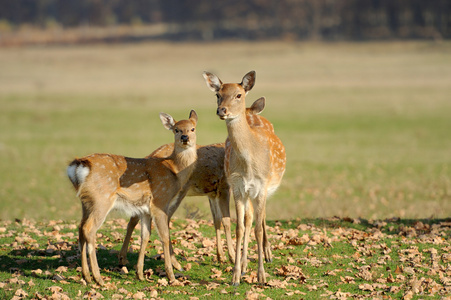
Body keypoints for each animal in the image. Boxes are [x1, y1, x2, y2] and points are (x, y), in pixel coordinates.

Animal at [67, 110, 200, 286]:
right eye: (176, 129)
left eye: (192, 128)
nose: (185, 137)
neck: (174, 171)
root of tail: (79, 165)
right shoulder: (160, 201)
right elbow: (165, 236)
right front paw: (171, 277)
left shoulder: (145, 209)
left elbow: (145, 236)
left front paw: (140, 274)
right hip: (102, 199)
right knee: (89, 229)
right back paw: (98, 278)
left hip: (86, 203)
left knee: (81, 228)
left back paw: (87, 276)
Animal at [118, 98, 276, 268]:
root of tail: (150, 155)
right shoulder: (225, 187)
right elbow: (228, 221)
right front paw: (235, 257)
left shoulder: (212, 193)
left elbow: (217, 220)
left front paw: (220, 256)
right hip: (175, 192)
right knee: (163, 218)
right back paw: (174, 263)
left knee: (135, 218)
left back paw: (123, 258)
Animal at [204, 71, 286, 286]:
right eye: (218, 95)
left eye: (238, 95)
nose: (221, 110)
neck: (249, 165)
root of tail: (252, 112)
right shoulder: (238, 188)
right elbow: (240, 227)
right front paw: (235, 275)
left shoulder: (261, 187)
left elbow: (258, 228)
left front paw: (261, 276)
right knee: (249, 220)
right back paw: (244, 265)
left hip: (266, 188)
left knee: (262, 218)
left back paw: (267, 254)